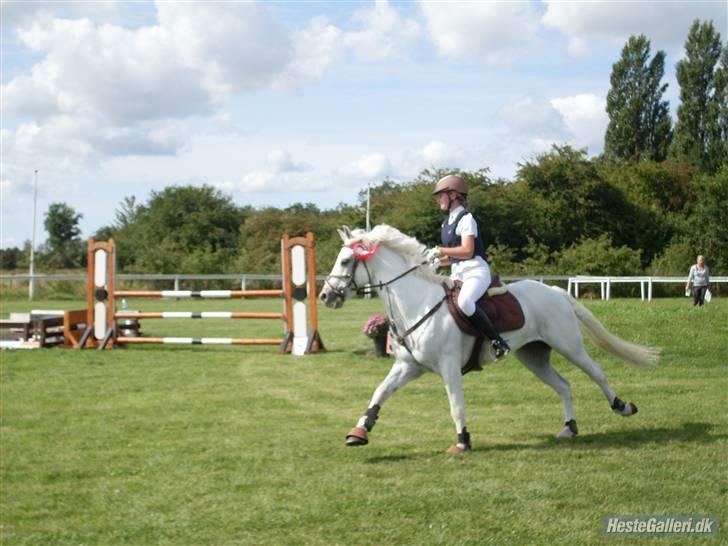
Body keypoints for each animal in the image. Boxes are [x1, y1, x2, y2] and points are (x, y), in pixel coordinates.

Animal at [319, 225, 660, 453]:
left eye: (346, 261)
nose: (325, 296)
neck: (416, 302)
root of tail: (554, 290)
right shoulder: (408, 366)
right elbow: (379, 392)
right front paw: (359, 432)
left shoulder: (449, 368)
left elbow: (456, 406)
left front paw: (462, 442)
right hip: (534, 355)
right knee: (564, 385)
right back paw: (569, 428)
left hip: (568, 345)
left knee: (597, 373)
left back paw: (622, 406)